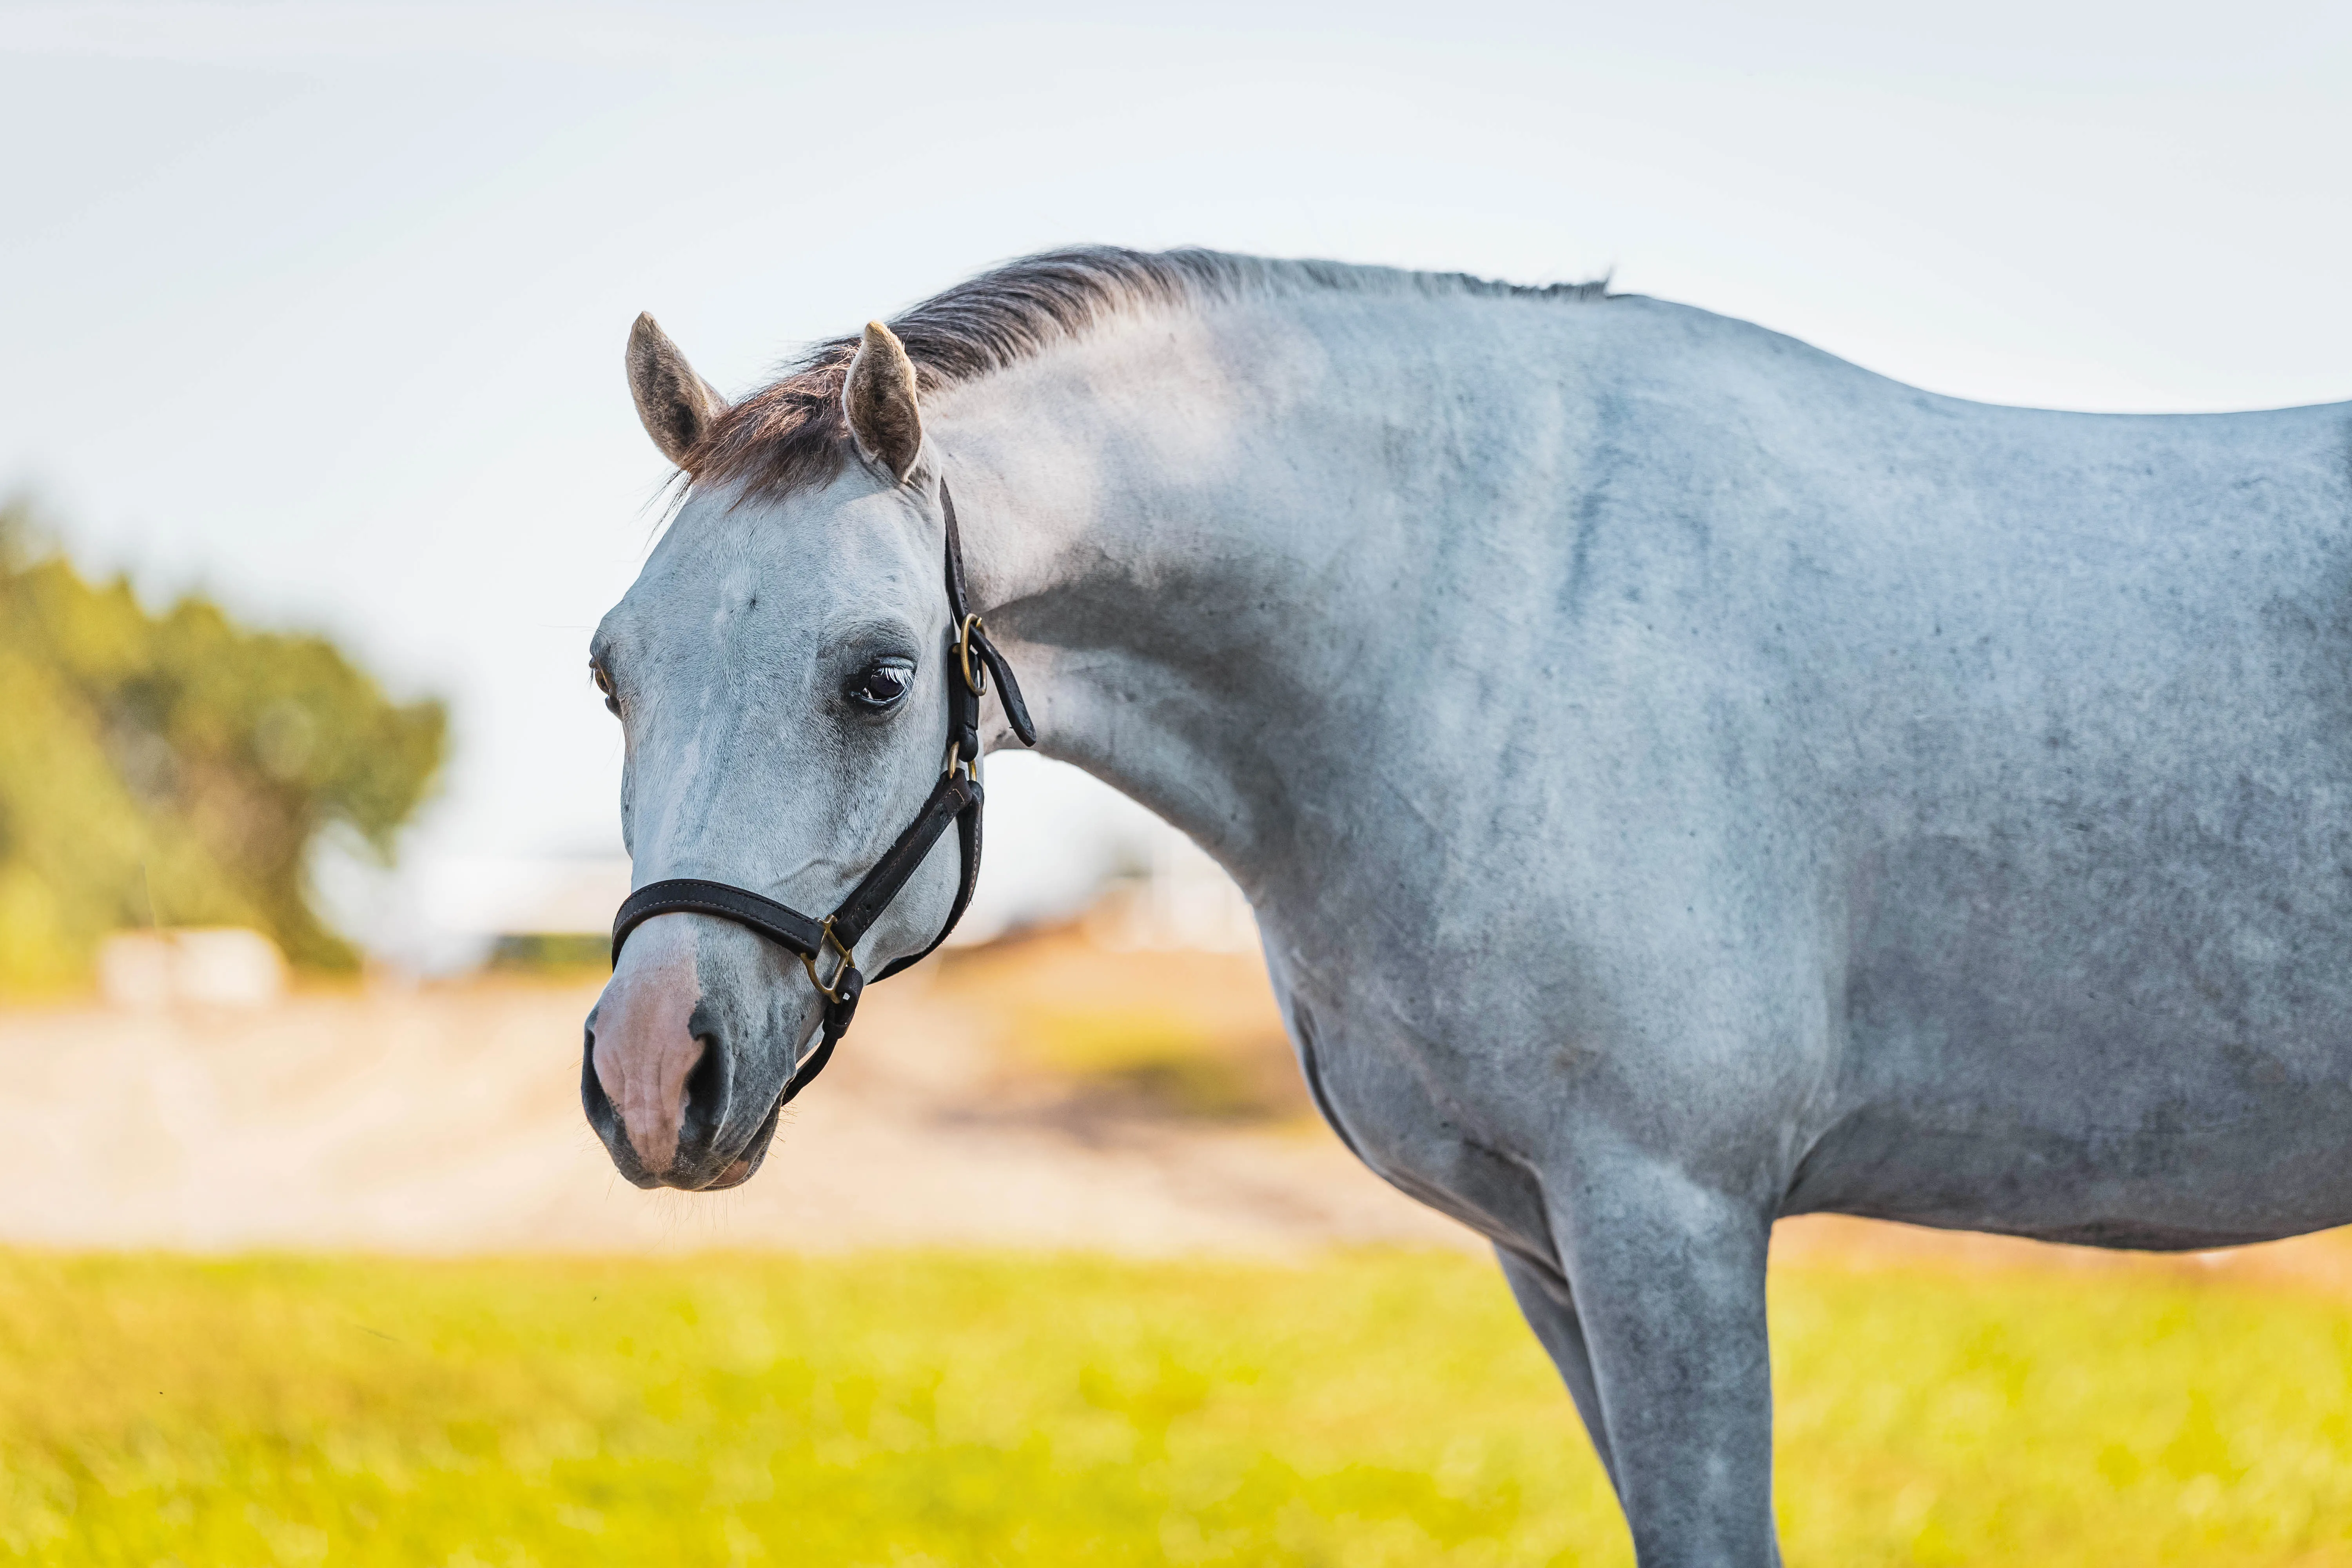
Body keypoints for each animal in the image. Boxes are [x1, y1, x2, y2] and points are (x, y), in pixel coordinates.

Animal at [582, 247, 2352, 1564]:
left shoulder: (1669, 1222)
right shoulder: (1546, 1248)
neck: (1485, 629)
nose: (654, 1073)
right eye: (613, 671)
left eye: (878, 677)